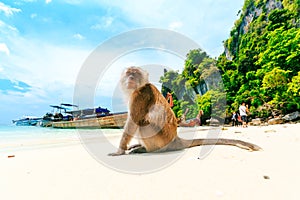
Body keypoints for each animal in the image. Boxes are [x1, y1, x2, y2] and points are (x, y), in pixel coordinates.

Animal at [108, 66, 262, 155]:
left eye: (135, 73)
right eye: (128, 73)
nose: (131, 77)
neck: (138, 87)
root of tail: (176, 139)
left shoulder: (140, 96)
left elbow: (133, 121)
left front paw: (119, 150)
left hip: (159, 140)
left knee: (142, 123)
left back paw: (145, 149)